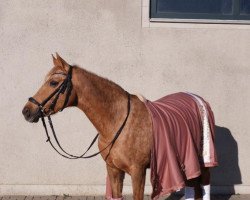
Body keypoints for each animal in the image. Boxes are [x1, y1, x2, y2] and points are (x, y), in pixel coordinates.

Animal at [23, 53, 217, 200]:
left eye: (53, 83)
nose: (27, 111)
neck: (117, 121)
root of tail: (198, 99)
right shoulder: (113, 169)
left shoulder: (138, 172)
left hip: (204, 160)